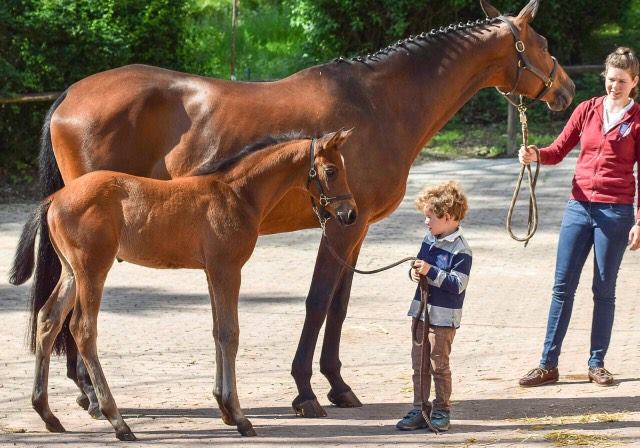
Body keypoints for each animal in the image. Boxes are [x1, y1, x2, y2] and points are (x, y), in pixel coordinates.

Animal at [11, 130, 356, 440]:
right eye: (330, 170)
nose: (350, 213)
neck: (237, 194)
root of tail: (54, 197)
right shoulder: (228, 270)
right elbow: (230, 334)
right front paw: (240, 416)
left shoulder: (212, 272)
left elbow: (218, 333)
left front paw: (225, 409)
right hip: (92, 269)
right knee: (82, 329)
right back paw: (118, 422)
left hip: (71, 273)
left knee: (48, 320)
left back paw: (47, 413)